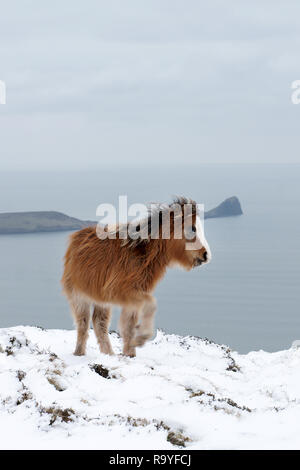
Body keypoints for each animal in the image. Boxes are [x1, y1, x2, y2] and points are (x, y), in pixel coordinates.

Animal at [61, 197, 211, 356]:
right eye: (192, 228)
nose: (206, 255)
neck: (141, 253)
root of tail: (76, 238)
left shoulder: (133, 296)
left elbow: (129, 326)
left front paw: (130, 353)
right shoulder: (122, 292)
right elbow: (151, 305)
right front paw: (142, 338)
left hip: (101, 300)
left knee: (99, 322)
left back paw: (109, 354)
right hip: (79, 297)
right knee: (83, 324)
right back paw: (80, 353)